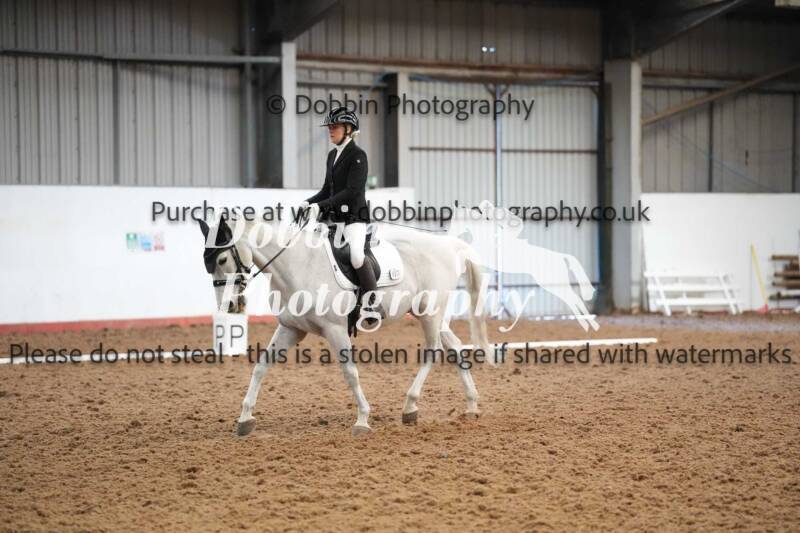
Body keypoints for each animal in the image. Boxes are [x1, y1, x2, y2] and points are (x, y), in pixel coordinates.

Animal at [198, 212, 493, 436]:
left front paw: (362, 419)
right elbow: (261, 366)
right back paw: (471, 405)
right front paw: (245, 418)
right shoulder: (291, 329)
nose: (229, 306)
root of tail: (449, 246)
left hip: (429, 313)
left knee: (433, 350)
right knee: (455, 347)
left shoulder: (335, 330)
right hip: (433, 315)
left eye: (222, 259)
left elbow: (350, 373)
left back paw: (410, 406)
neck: (299, 265)